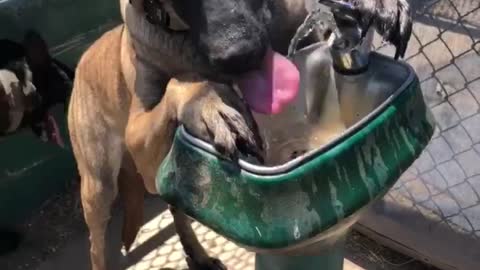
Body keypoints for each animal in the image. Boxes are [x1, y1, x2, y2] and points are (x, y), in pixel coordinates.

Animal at [68, 0, 412, 268]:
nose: (240, 55)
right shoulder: (142, 148)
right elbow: (180, 82)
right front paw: (208, 101)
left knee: (176, 210)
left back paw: (197, 253)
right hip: (99, 187)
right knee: (97, 246)